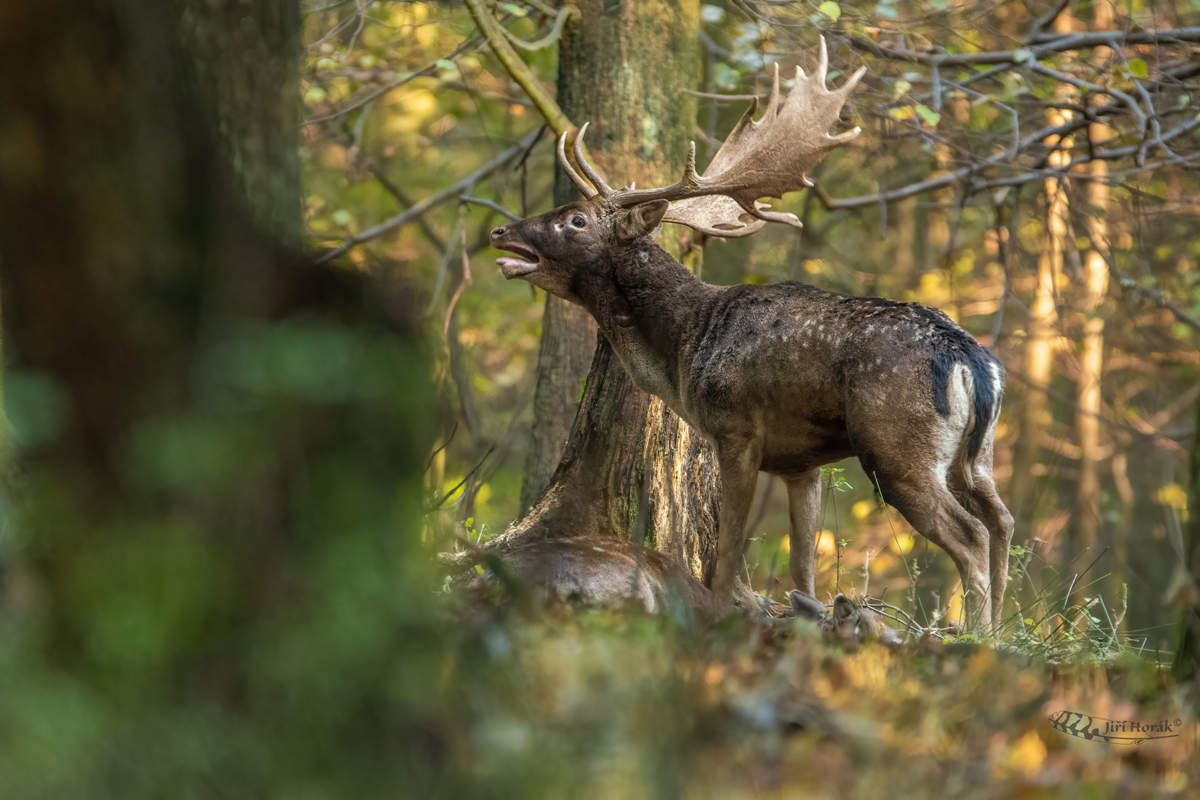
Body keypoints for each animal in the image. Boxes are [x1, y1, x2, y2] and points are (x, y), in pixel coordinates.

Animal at [487, 42, 1012, 633]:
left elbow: (730, 543)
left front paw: (722, 608)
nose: (500, 231)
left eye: (575, 220)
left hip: (897, 446)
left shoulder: (734, 428)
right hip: (978, 454)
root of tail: (970, 359)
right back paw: (1001, 628)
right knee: (1002, 520)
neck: (683, 345)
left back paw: (978, 635)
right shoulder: (800, 462)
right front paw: (809, 615)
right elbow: (802, 560)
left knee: (971, 534)